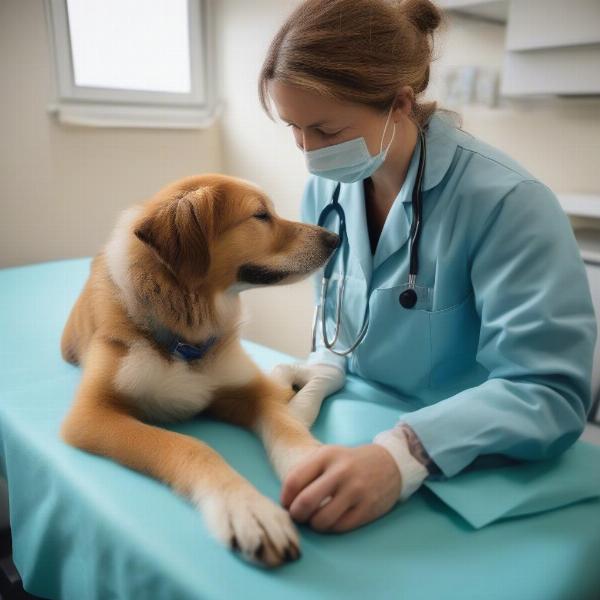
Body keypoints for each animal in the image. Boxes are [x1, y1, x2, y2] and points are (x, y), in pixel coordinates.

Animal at [62, 173, 340, 568]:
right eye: (261, 215)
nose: (335, 239)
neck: (184, 340)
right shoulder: (92, 414)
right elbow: (193, 446)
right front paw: (248, 509)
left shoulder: (251, 390)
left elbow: (287, 425)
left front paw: (314, 466)